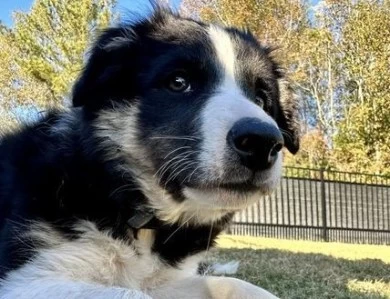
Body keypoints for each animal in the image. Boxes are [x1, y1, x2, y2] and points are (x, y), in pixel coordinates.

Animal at [0, 7, 298, 299]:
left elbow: (234, 285)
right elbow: (132, 294)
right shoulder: (28, 277)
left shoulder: (166, 280)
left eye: (261, 99)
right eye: (178, 82)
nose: (261, 142)